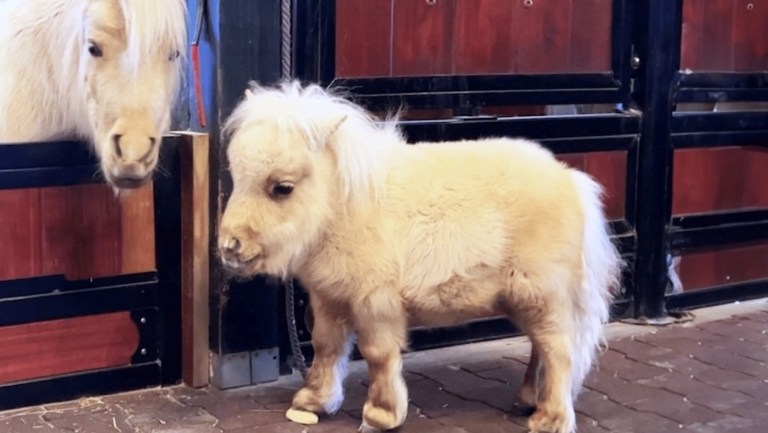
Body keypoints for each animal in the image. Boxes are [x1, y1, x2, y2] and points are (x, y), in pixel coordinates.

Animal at [217, 81, 623, 433]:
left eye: (282, 188)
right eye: (237, 176)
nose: (230, 247)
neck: (346, 206)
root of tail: (571, 180)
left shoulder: (375, 302)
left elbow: (378, 354)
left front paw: (381, 415)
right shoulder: (330, 299)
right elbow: (326, 347)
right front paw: (313, 402)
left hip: (542, 295)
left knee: (558, 349)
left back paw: (549, 419)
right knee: (543, 347)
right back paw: (528, 401)